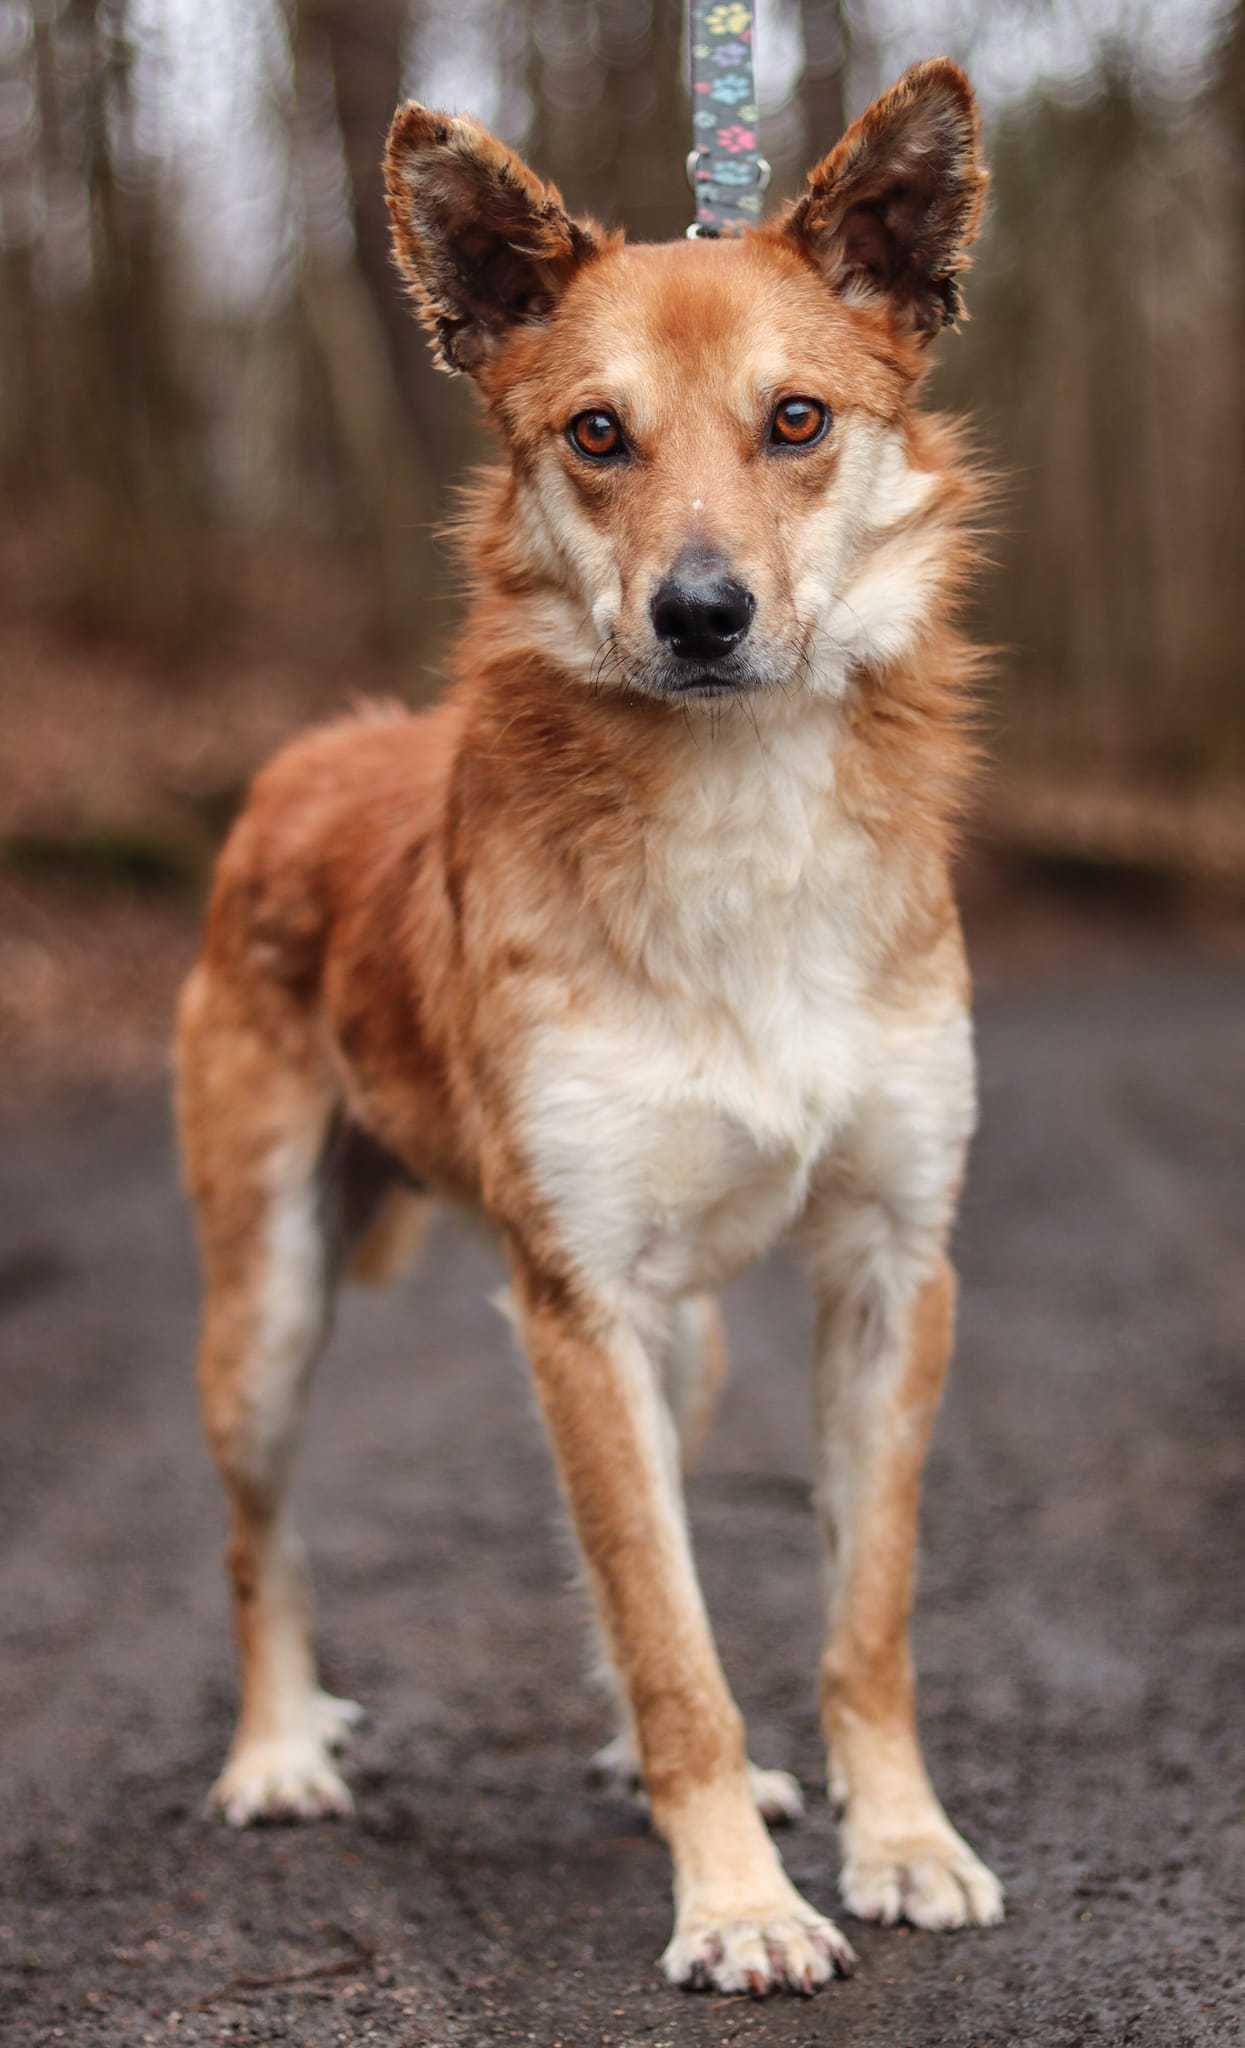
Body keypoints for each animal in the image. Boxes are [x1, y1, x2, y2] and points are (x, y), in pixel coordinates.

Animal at [177, 59, 1003, 1998]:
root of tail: (315, 751)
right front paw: (738, 1907)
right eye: (596, 436)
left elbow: (858, 1610)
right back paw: (275, 1747)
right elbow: (668, 1628)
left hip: (685, 1344)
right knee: (264, 1541)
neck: (741, 820)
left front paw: (899, 1839)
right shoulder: (577, 1304)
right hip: (270, 1312)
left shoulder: (892, 1263)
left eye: (796, 421)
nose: (699, 615)